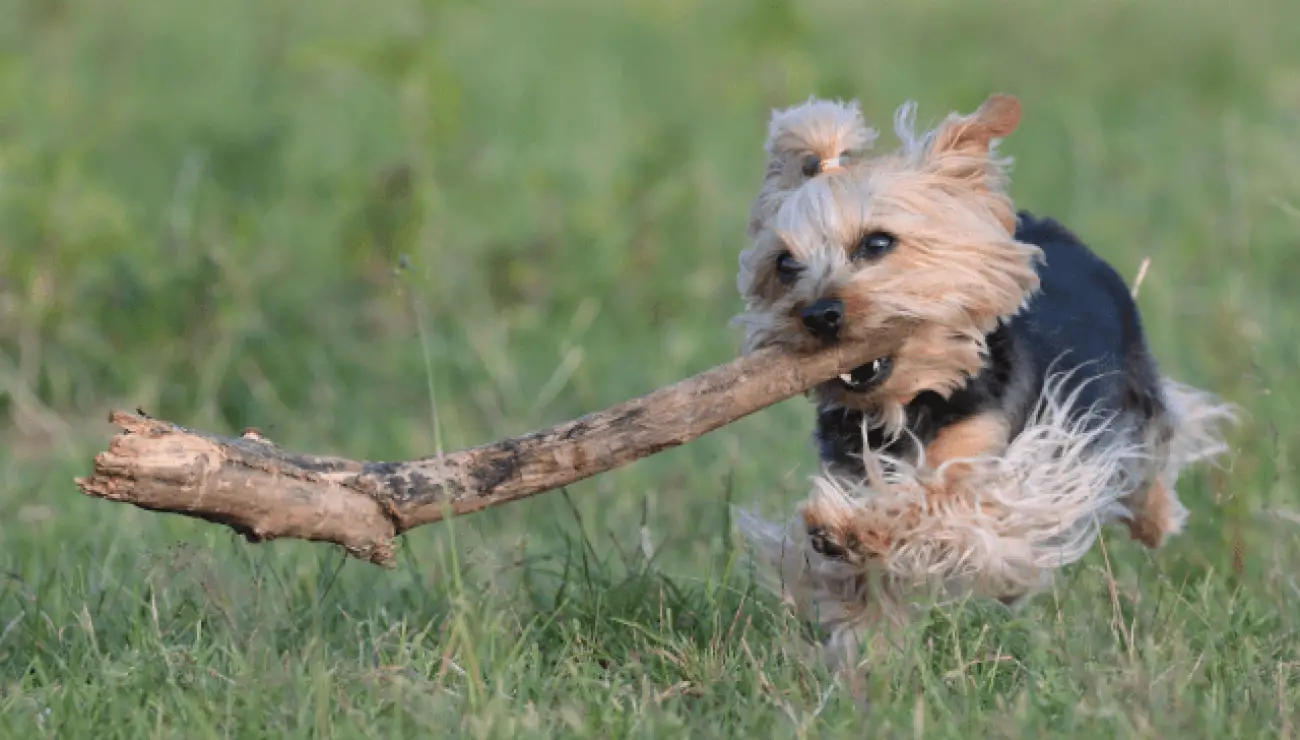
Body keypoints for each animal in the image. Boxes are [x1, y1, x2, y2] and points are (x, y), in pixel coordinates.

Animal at [738, 92, 1232, 671]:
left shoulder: (1002, 467)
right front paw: (868, 655)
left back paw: (1154, 520)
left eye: (877, 243)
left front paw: (855, 527)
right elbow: (857, 584)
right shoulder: (854, 460)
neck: (909, 405)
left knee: (1152, 453)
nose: (818, 314)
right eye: (784, 264)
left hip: (1132, 387)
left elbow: (941, 506)